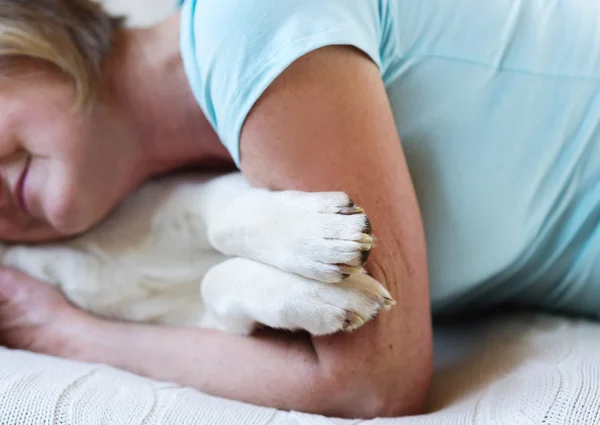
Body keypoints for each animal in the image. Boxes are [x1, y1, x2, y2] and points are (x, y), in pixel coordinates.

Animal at [0, 172, 394, 334]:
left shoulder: (192, 193)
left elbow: (222, 222)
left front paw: (313, 230)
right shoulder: (201, 319)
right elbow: (213, 282)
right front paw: (324, 297)